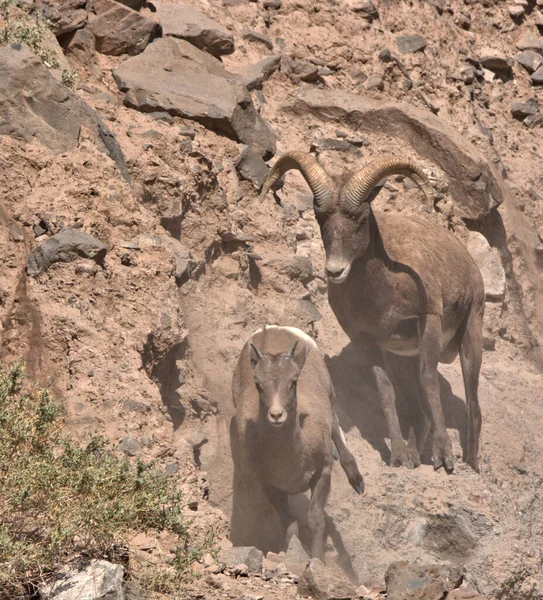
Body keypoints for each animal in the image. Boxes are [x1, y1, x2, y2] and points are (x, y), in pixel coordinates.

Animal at [231, 326, 364, 560]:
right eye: (258, 385)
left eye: (293, 382)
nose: (276, 415)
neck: (293, 461)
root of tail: (273, 328)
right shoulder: (270, 486)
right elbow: (290, 524)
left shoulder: (323, 473)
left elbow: (315, 519)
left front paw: (317, 559)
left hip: (330, 396)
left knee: (335, 424)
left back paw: (356, 481)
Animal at [262, 154, 486, 474]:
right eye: (321, 217)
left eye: (361, 218)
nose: (335, 271)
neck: (383, 292)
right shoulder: (368, 341)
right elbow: (385, 391)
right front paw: (398, 457)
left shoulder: (428, 323)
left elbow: (429, 380)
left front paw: (444, 458)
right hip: (403, 359)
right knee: (419, 409)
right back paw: (414, 457)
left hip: (470, 338)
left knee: (472, 406)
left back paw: (471, 464)